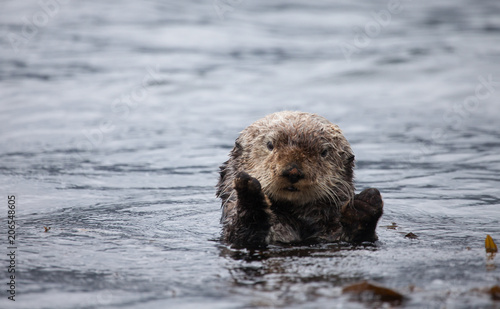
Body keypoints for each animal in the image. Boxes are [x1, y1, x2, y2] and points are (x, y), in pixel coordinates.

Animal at [215, 111, 382, 248]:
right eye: (270, 145)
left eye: (324, 152)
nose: (293, 172)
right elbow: (243, 234)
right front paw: (248, 192)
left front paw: (364, 205)